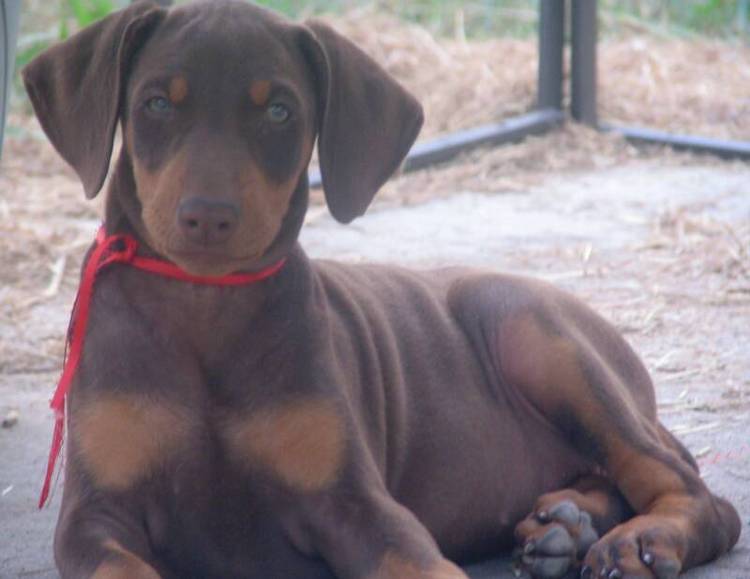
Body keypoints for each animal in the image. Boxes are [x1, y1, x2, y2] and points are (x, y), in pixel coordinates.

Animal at [22, 1, 740, 579]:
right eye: (156, 103)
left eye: (279, 110)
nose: (208, 217)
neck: (204, 305)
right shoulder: (96, 515)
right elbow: (118, 564)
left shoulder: (355, 503)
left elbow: (419, 560)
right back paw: (566, 524)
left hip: (531, 328)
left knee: (698, 492)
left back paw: (636, 539)